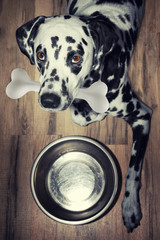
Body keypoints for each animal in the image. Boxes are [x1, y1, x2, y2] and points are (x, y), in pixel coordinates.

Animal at [16, 0, 152, 232]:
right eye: (41, 55)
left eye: (75, 57)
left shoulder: (142, 117)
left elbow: (133, 171)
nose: (49, 100)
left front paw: (130, 207)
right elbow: (81, 116)